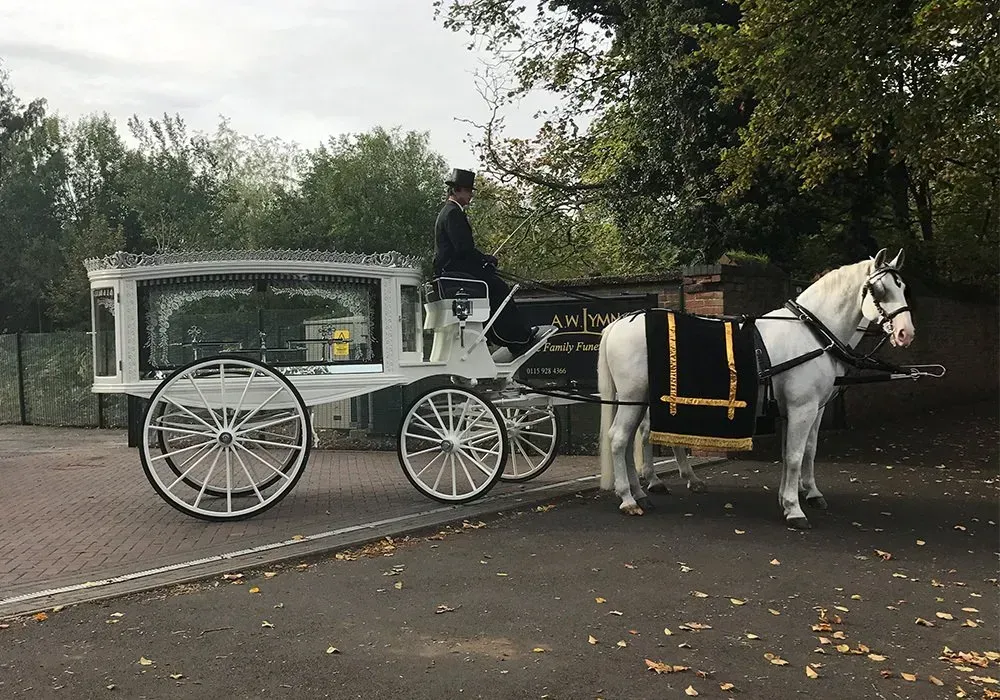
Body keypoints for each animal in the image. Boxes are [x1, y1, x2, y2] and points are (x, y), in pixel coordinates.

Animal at [596, 249, 916, 528]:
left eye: (902, 287)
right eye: (880, 290)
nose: (906, 333)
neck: (810, 333)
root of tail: (620, 323)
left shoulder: (812, 409)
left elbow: (803, 451)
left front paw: (801, 495)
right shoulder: (801, 408)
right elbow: (795, 455)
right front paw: (794, 509)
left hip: (639, 400)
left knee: (631, 440)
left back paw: (640, 493)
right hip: (634, 396)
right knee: (619, 439)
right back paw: (628, 499)